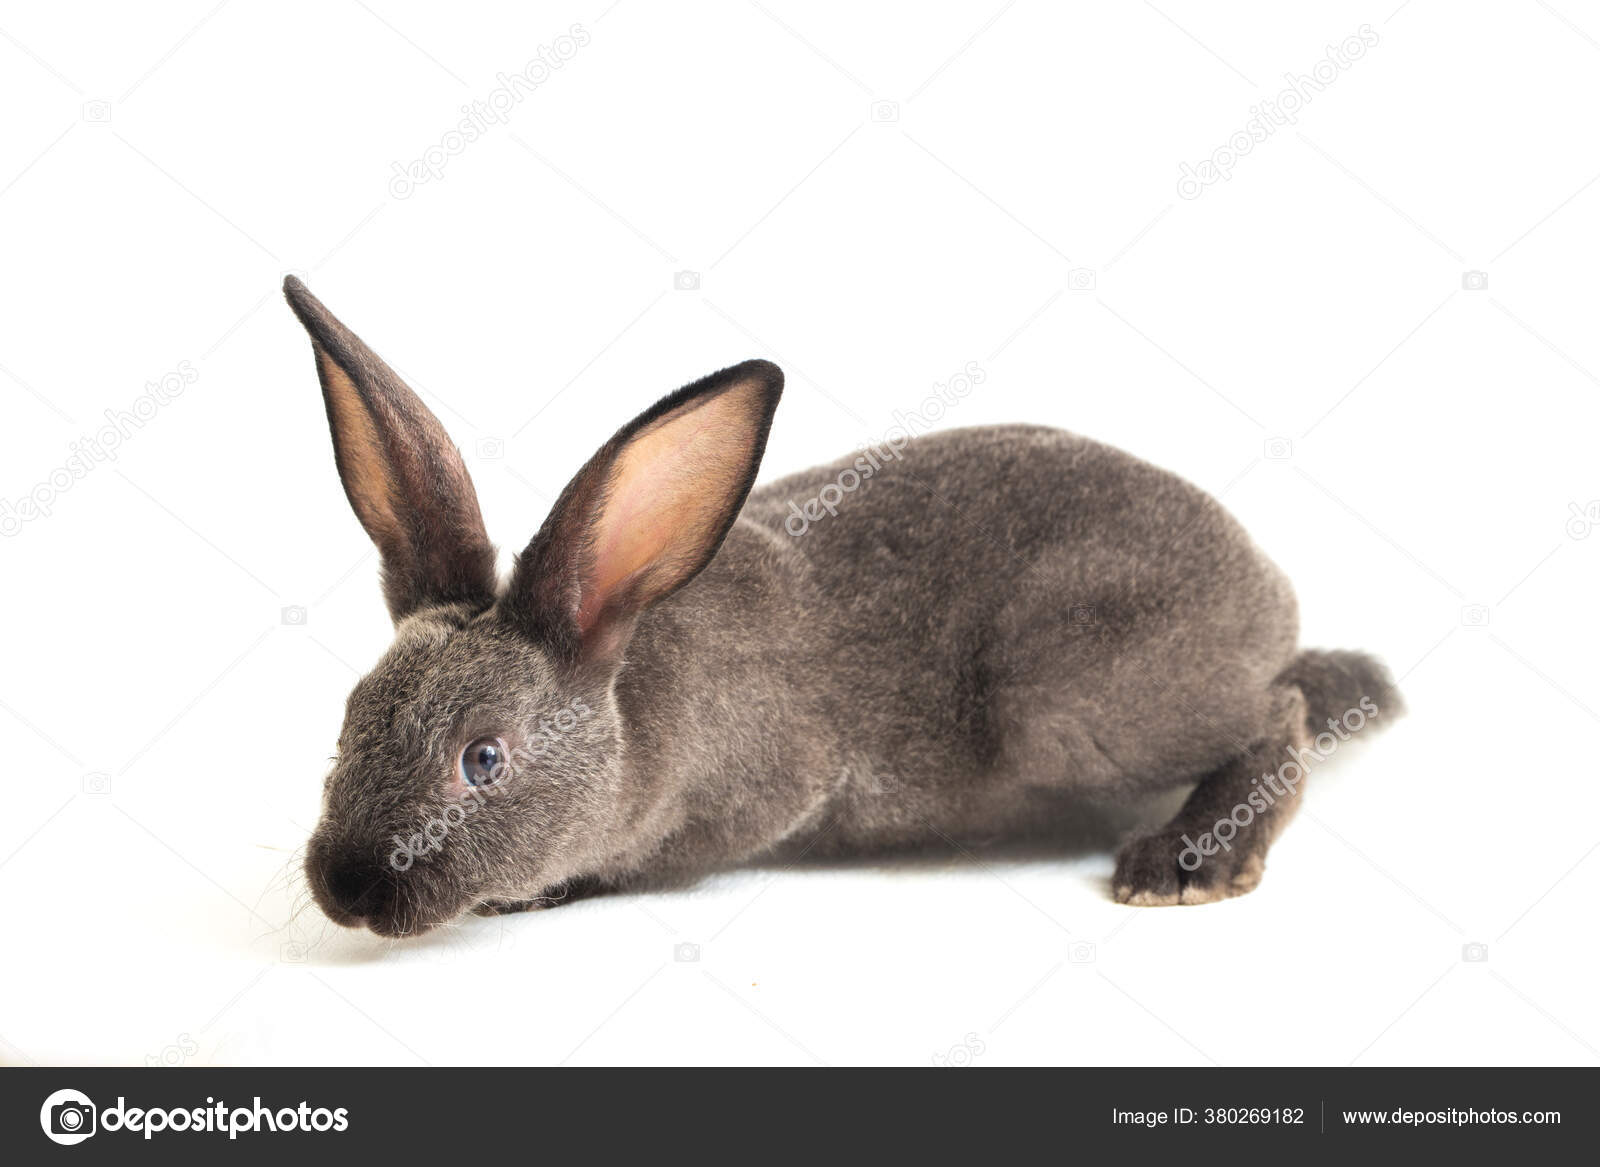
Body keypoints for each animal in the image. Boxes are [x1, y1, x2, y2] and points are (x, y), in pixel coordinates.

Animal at [284, 276, 1401, 937]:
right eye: (343, 729)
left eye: (482, 759)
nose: (346, 887)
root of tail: (1271, 603)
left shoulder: (768, 791)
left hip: (1071, 705)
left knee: (1276, 715)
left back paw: (1187, 860)